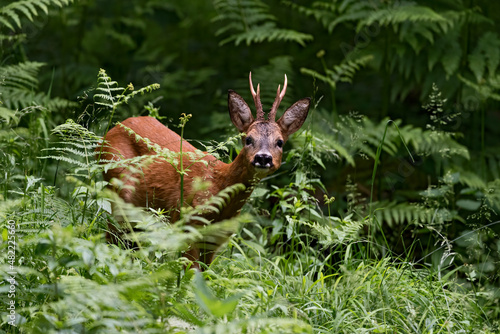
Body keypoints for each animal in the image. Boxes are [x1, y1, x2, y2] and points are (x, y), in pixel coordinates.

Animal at [98, 73, 308, 268]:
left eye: (279, 142)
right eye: (248, 139)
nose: (263, 157)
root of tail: (109, 132)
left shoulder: (213, 240)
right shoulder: (187, 226)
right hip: (116, 194)